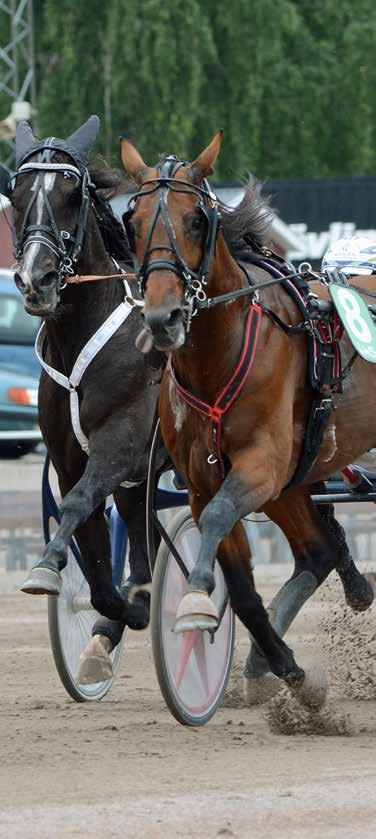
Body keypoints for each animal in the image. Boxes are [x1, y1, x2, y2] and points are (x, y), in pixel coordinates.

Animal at [119, 133, 374, 708]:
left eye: (196, 219)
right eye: (132, 221)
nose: (162, 319)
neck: (219, 356)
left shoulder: (261, 463)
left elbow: (216, 520)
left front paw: (195, 600)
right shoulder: (206, 479)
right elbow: (239, 586)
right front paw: (288, 671)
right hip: (294, 480)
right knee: (317, 551)